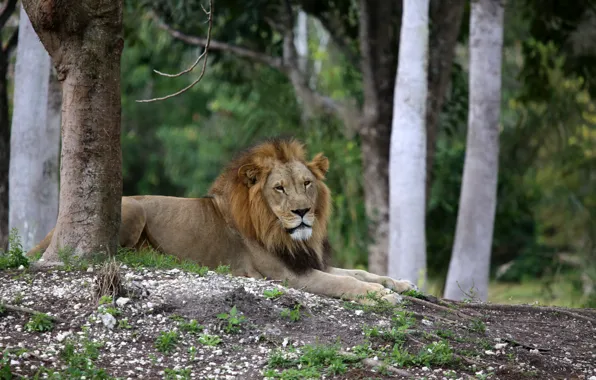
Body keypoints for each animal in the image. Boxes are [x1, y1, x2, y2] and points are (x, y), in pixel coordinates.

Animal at [28, 138, 416, 304]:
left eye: (307, 183)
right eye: (279, 188)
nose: (303, 211)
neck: (284, 232)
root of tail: (52, 231)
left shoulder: (306, 261)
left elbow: (359, 272)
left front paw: (400, 284)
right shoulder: (289, 275)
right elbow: (344, 283)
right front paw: (382, 295)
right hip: (133, 209)